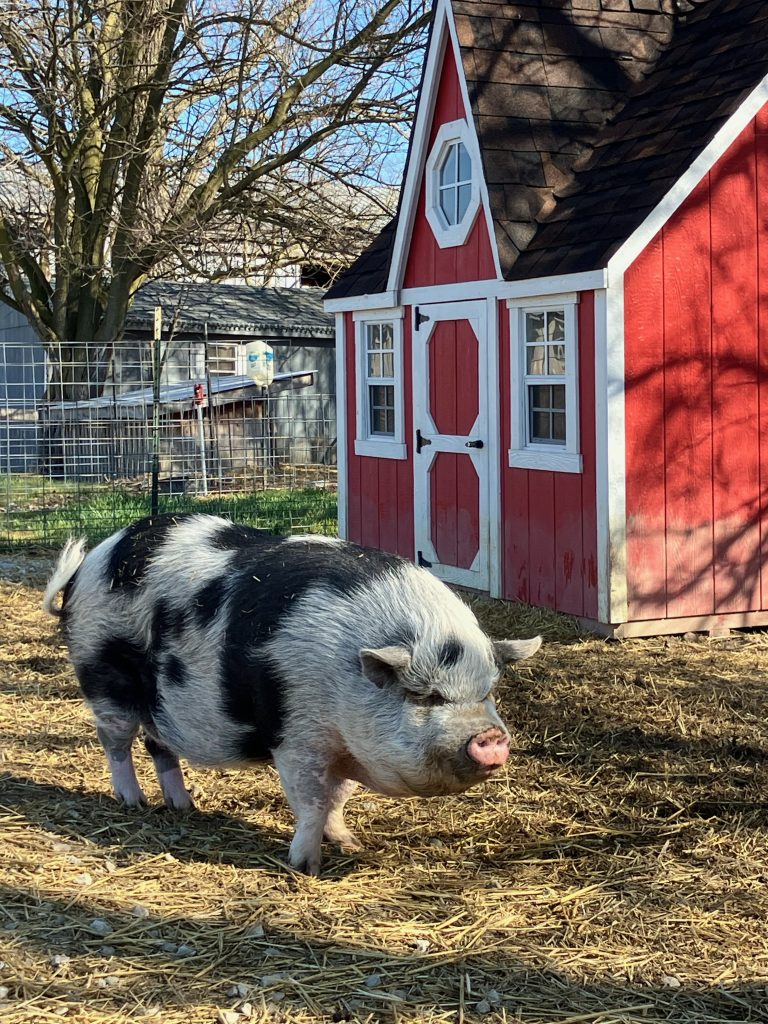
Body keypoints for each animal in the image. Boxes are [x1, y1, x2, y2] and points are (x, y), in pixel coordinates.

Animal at [43, 516, 540, 876]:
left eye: (488, 692)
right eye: (428, 695)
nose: (491, 739)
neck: (343, 679)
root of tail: (90, 563)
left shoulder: (340, 744)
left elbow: (339, 798)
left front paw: (351, 843)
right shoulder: (298, 737)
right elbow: (314, 800)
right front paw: (307, 866)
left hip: (160, 703)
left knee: (158, 745)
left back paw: (184, 807)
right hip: (103, 676)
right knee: (116, 743)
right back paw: (133, 802)